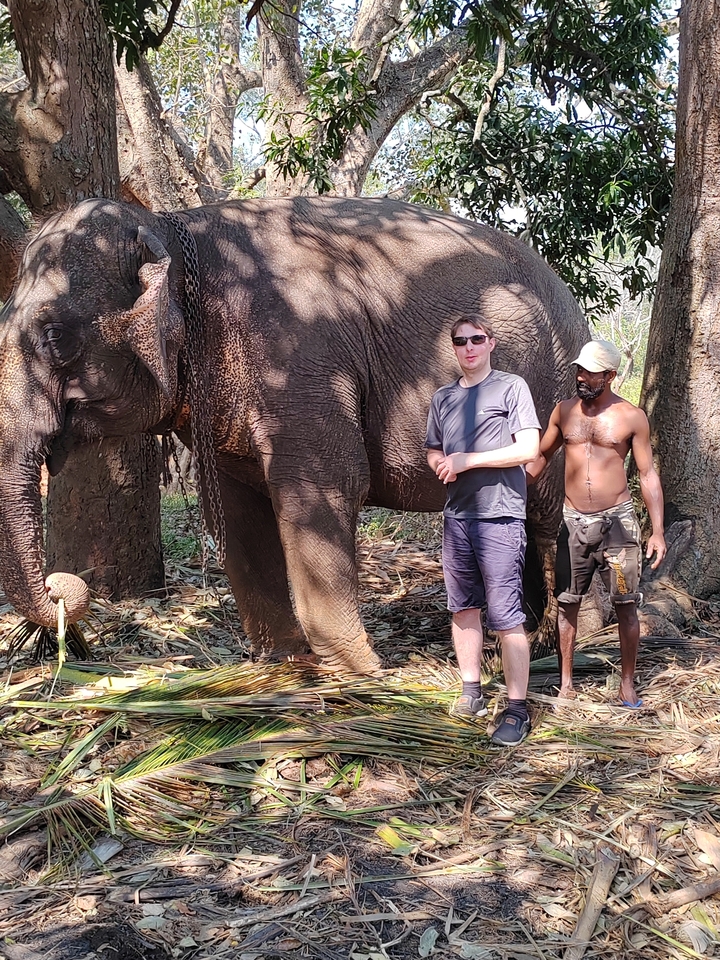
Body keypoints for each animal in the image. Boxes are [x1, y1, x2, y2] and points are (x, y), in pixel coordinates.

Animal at [0, 196, 589, 674]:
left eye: (54, 335)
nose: (63, 588)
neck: (168, 225)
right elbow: (235, 508)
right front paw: (284, 660)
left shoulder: (302, 356)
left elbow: (326, 485)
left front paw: (359, 671)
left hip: (553, 395)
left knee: (541, 512)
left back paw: (549, 640)